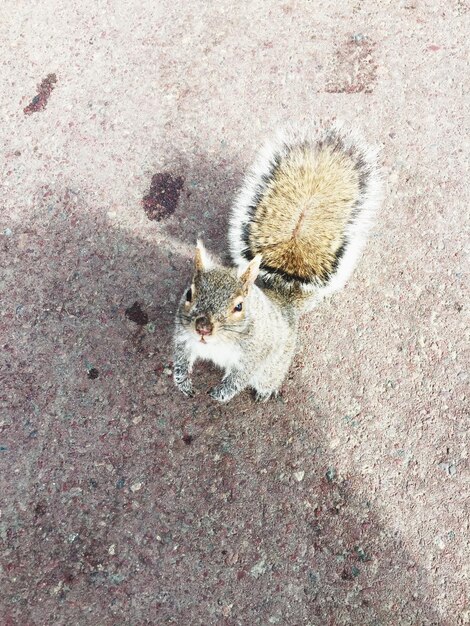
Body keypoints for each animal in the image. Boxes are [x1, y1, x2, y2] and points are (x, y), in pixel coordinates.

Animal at [173, 121, 382, 402]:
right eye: (189, 294)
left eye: (239, 306)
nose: (203, 328)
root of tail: (285, 299)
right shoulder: (182, 335)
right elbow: (180, 356)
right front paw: (182, 381)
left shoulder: (255, 353)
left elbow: (241, 376)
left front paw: (221, 394)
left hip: (274, 365)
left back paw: (264, 394)